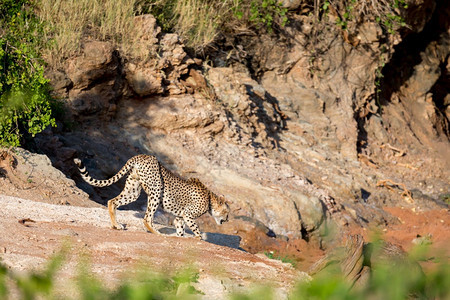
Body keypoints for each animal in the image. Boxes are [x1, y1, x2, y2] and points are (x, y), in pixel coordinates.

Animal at [74, 155, 229, 239]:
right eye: (226, 212)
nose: (227, 220)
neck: (210, 200)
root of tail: (143, 155)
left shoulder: (181, 216)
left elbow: (181, 229)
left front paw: (181, 236)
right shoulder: (188, 214)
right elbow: (196, 229)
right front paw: (198, 238)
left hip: (133, 190)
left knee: (112, 201)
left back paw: (116, 225)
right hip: (156, 189)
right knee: (147, 217)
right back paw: (157, 232)